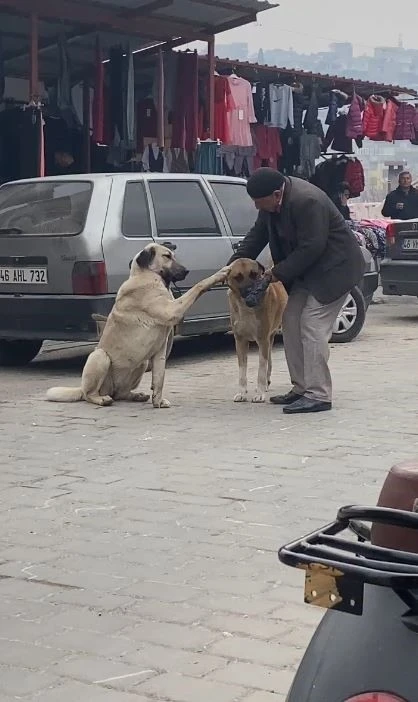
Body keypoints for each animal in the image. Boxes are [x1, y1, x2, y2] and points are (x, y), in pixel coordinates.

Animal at [47, 243, 230, 410]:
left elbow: (159, 377)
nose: (186, 271)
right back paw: (101, 399)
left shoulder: (160, 351)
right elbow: (198, 285)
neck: (146, 275)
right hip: (100, 356)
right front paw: (219, 273)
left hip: (141, 362)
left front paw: (158, 401)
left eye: (173, 256)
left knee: (121, 394)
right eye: (167, 256)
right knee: (89, 394)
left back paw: (136, 395)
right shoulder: (173, 309)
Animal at [225, 258, 288, 404]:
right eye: (238, 277)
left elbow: (261, 369)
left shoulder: (262, 340)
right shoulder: (240, 341)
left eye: (254, 274)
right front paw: (242, 393)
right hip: (269, 339)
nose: (249, 290)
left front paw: (259, 394)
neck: (245, 307)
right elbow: (242, 371)